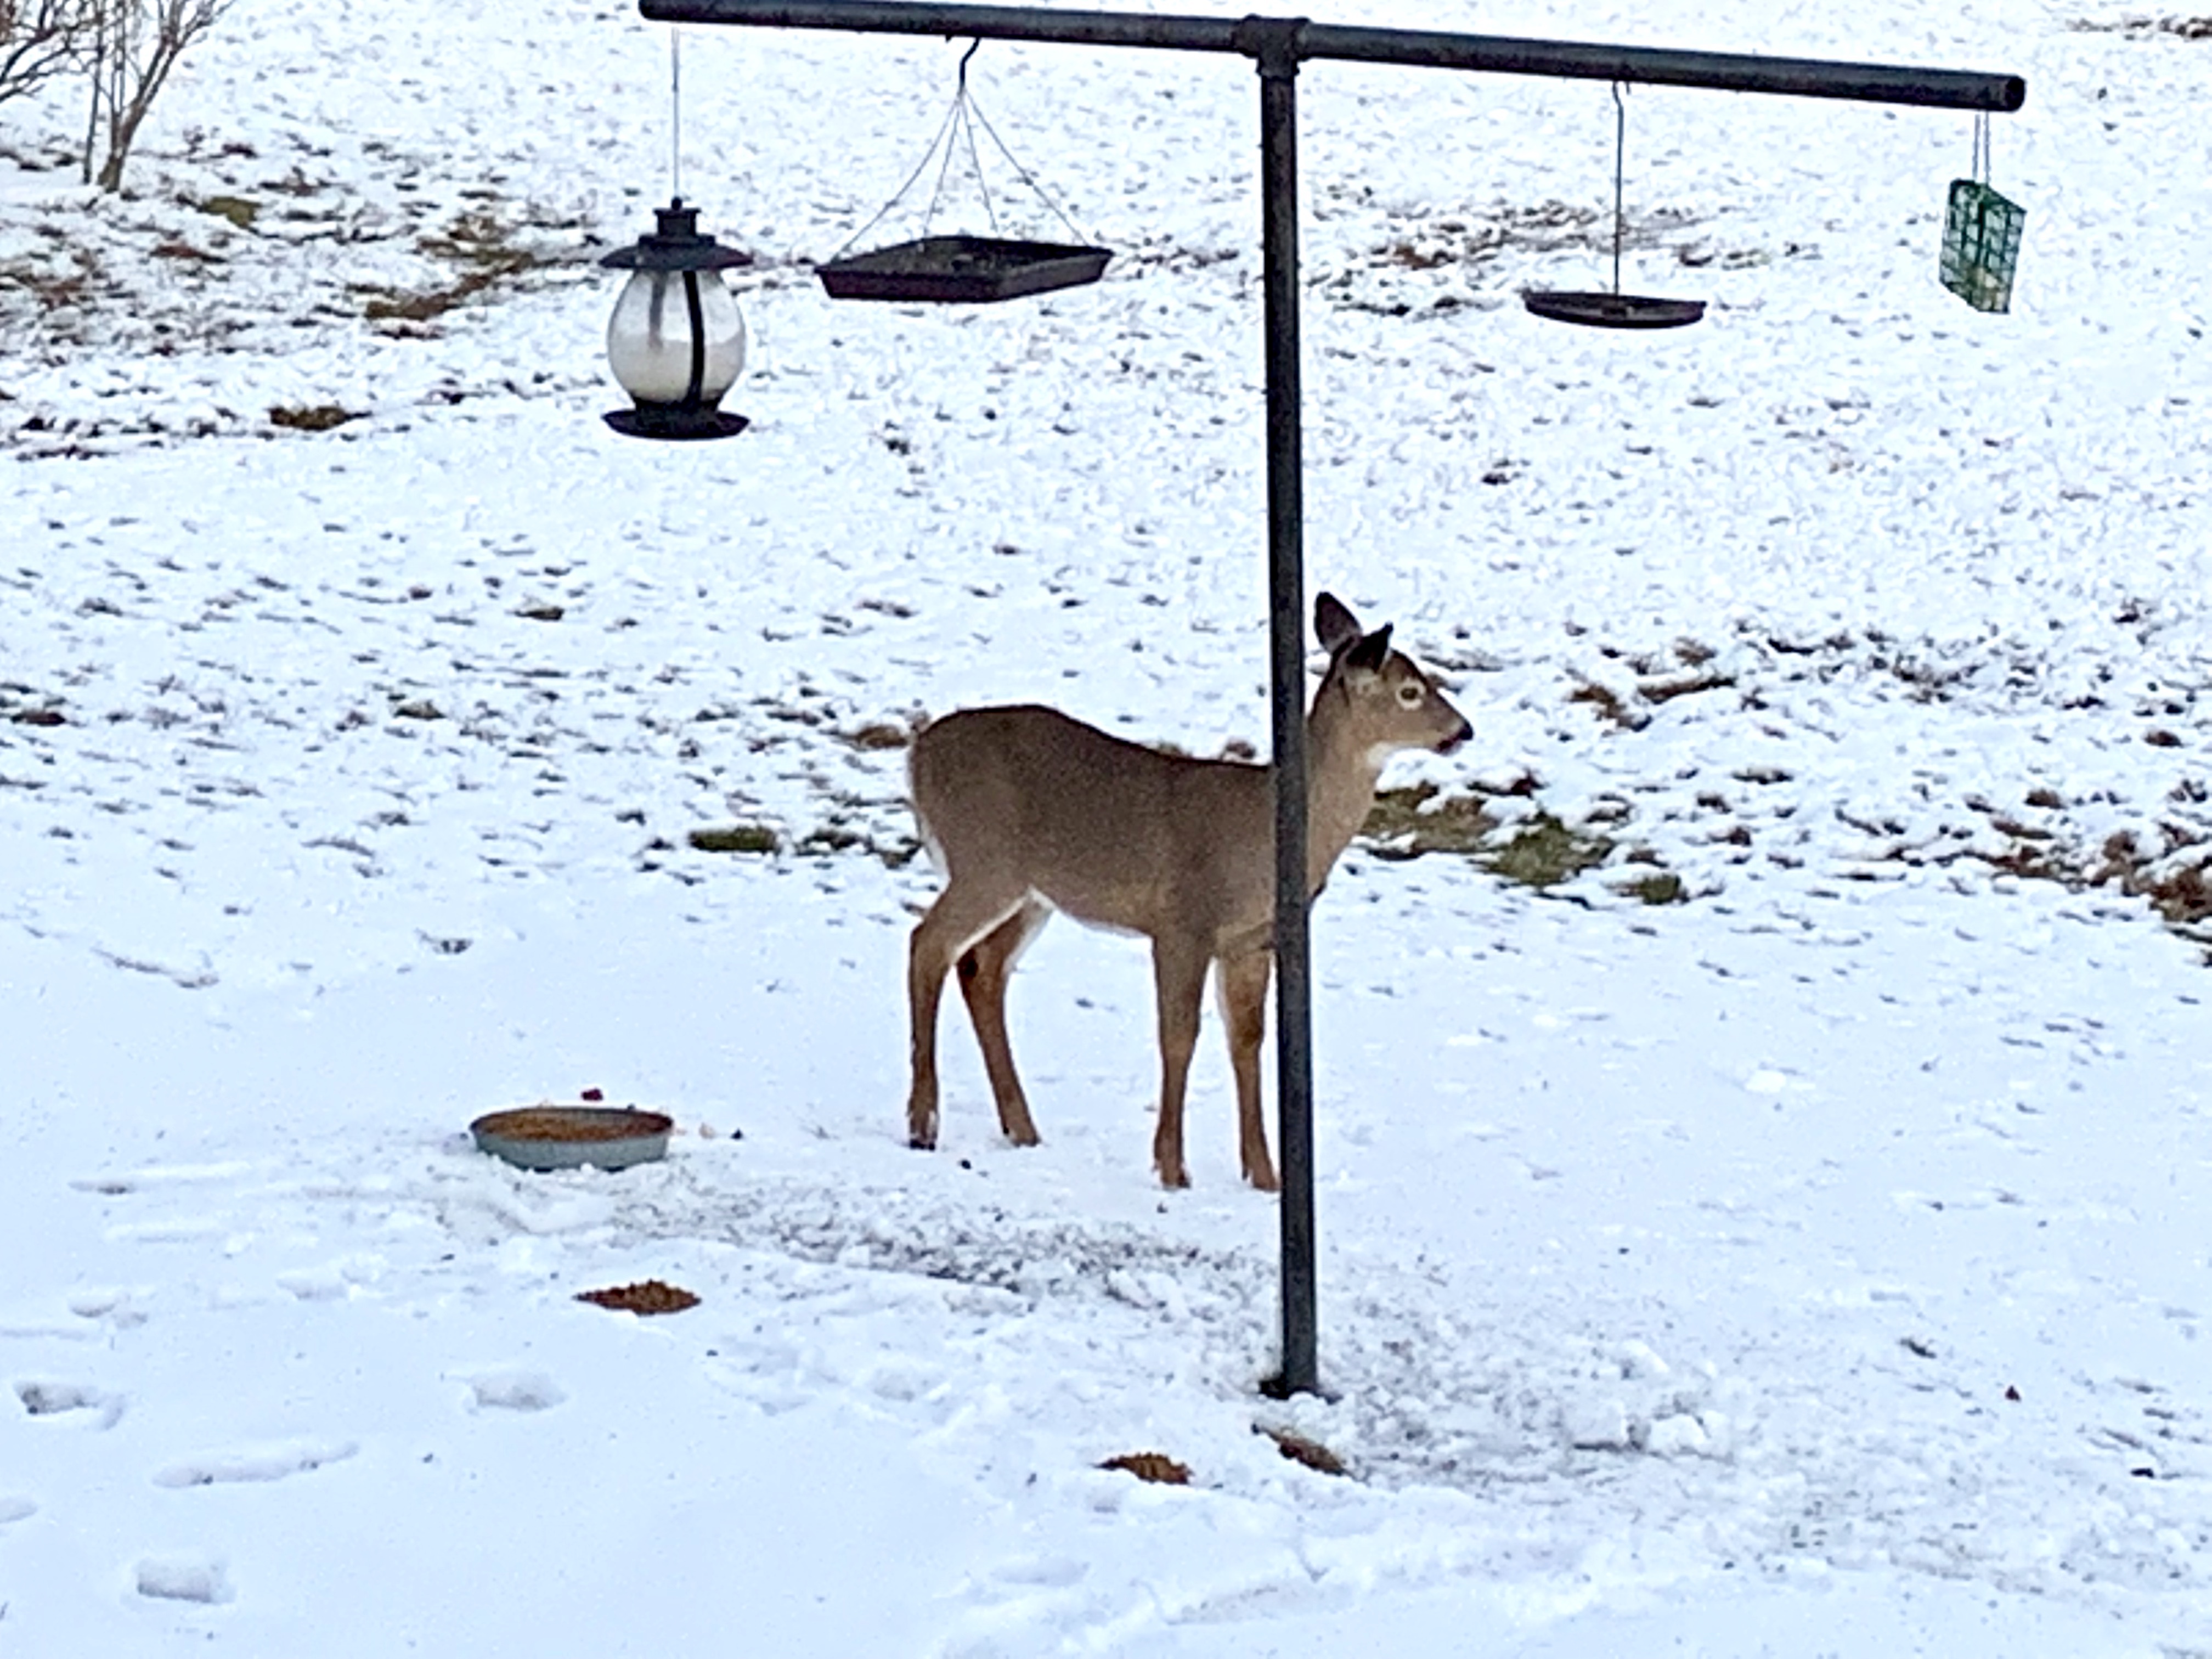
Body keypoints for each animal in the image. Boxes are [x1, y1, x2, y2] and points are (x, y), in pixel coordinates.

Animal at [903, 592, 1472, 1191]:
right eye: (1410, 690)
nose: (1463, 730)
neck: (1267, 831)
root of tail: (916, 755)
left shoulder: (1252, 941)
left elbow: (1248, 1040)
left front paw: (1265, 1175)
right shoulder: (1183, 921)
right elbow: (1179, 1037)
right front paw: (1173, 1167)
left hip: (1032, 893)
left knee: (982, 968)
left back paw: (1021, 1127)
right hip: (984, 860)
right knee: (928, 944)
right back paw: (924, 1123)